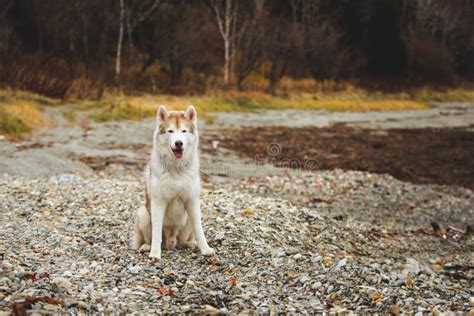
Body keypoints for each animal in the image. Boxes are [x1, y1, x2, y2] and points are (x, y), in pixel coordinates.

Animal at [132, 105, 216, 260]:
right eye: (170, 131)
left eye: (184, 131)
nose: (178, 143)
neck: (176, 168)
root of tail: (171, 243)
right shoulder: (158, 202)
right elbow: (156, 233)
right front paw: (155, 253)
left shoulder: (192, 200)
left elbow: (199, 229)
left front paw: (205, 249)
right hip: (143, 213)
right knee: (148, 239)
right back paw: (146, 247)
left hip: (187, 220)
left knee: (184, 241)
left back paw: (191, 244)